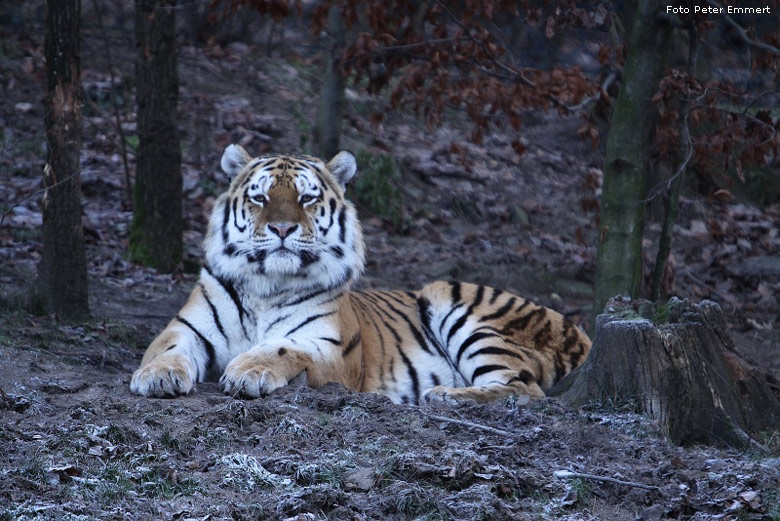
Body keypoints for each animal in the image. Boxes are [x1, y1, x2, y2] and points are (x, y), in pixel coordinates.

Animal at [129, 144, 592, 404]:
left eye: (307, 198)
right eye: (260, 198)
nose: (282, 229)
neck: (267, 285)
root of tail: (582, 333)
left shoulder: (331, 347)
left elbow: (281, 347)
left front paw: (249, 371)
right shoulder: (186, 328)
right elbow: (167, 349)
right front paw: (158, 377)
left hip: (455, 303)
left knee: (525, 389)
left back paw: (445, 396)